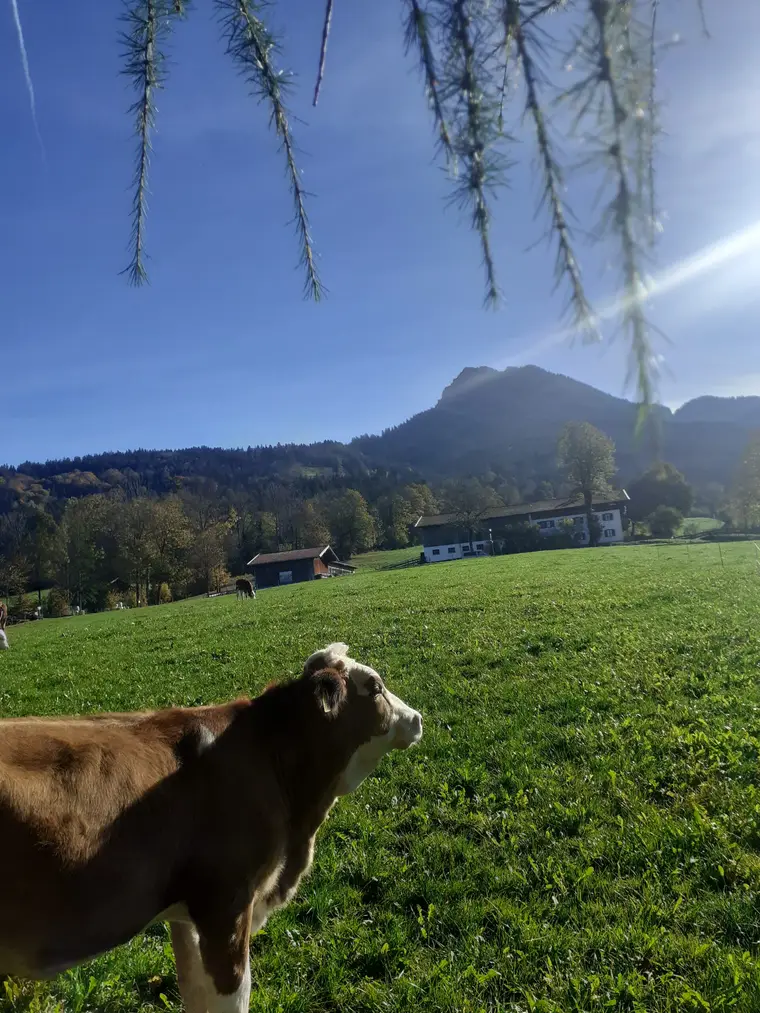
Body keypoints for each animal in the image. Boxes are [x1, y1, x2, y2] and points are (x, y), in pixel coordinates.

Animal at [0, 642, 422, 1011]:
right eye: (376, 686)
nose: (417, 718)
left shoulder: (186, 915)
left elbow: (192, 987)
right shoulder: (226, 905)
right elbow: (231, 993)